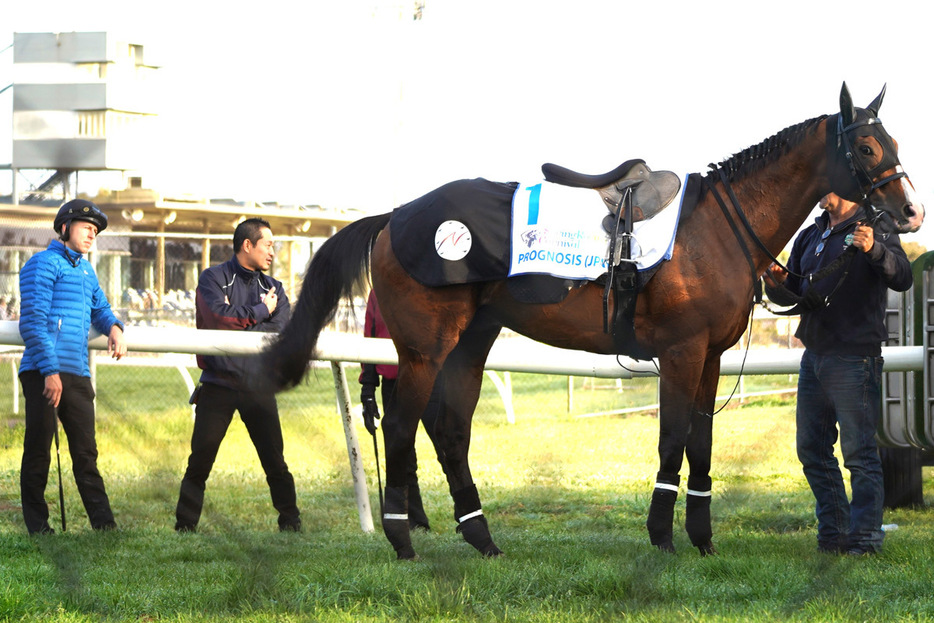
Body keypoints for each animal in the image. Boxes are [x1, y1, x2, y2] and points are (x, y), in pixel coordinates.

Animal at [262, 85, 920, 560]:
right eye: (866, 148)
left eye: (892, 141)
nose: (911, 211)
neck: (715, 230)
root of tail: (396, 216)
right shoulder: (681, 353)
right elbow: (673, 439)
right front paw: (662, 535)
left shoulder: (710, 357)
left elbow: (700, 443)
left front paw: (702, 537)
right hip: (425, 350)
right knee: (402, 428)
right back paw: (402, 540)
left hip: (471, 344)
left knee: (449, 432)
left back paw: (482, 538)